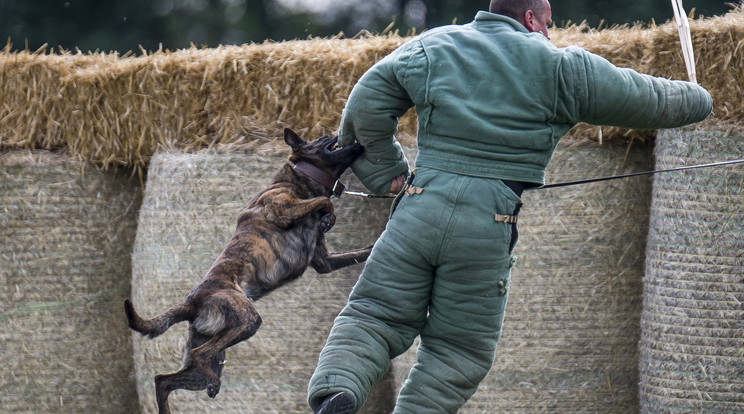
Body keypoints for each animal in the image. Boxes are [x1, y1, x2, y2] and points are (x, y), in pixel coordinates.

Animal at [125, 128, 374, 412]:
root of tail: (193, 302)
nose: (338, 130)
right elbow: (322, 201)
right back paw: (212, 384)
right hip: (246, 321)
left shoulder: (325, 262)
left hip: (211, 354)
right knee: (198, 356)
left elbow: (357, 252)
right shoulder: (283, 209)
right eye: (323, 138)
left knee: (163, 380)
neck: (301, 179)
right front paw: (329, 216)